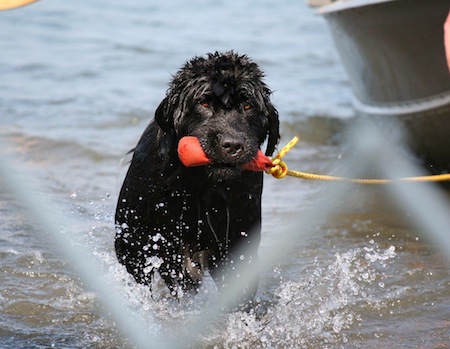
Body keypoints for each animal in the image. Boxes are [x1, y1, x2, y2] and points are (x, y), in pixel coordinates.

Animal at [116, 51, 278, 308]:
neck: (203, 188)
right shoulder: (152, 242)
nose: (232, 144)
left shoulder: (239, 244)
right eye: (204, 103)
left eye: (248, 105)